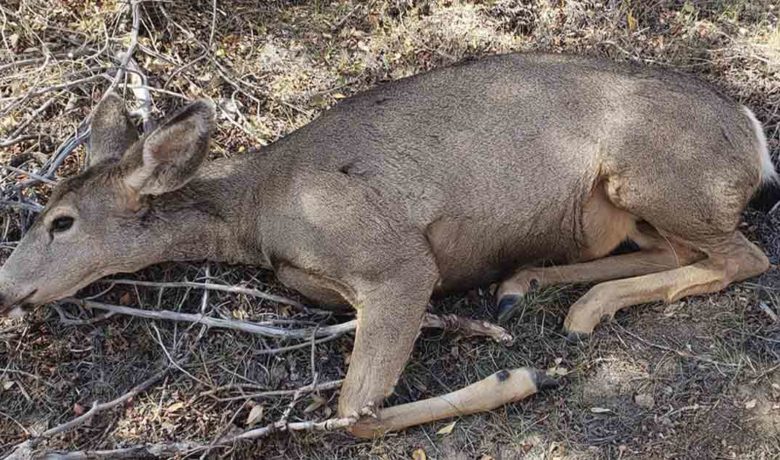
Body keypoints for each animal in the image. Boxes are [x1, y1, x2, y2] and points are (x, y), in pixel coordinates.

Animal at [0, 53, 775, 437]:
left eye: (61, 221)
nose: (7, 287)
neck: (258, 211)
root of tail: (751, 131)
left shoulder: (395, 263)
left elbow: (351, 418)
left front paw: (522, 376)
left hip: (654, 173)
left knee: (745, 256)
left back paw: (574, 312)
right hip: (630, 205)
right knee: (686, 253)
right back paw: (530, 287)